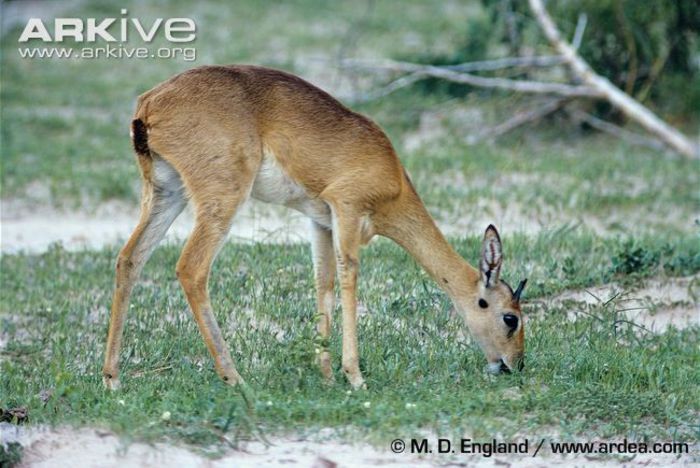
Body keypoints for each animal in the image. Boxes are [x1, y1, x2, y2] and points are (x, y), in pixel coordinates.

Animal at [102, 64, 524, 390]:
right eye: (510, 317)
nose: (513, 364)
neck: (394, 180)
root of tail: (149, 104)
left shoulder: (320, 221)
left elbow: (324, 283)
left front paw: (325, 375)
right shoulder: (347, 209)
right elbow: (349, 277)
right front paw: (354, 376)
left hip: (166, 193)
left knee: (129, 259)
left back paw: (112, 379)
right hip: (221, 201)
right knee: (191, 269)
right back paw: (234, 377)